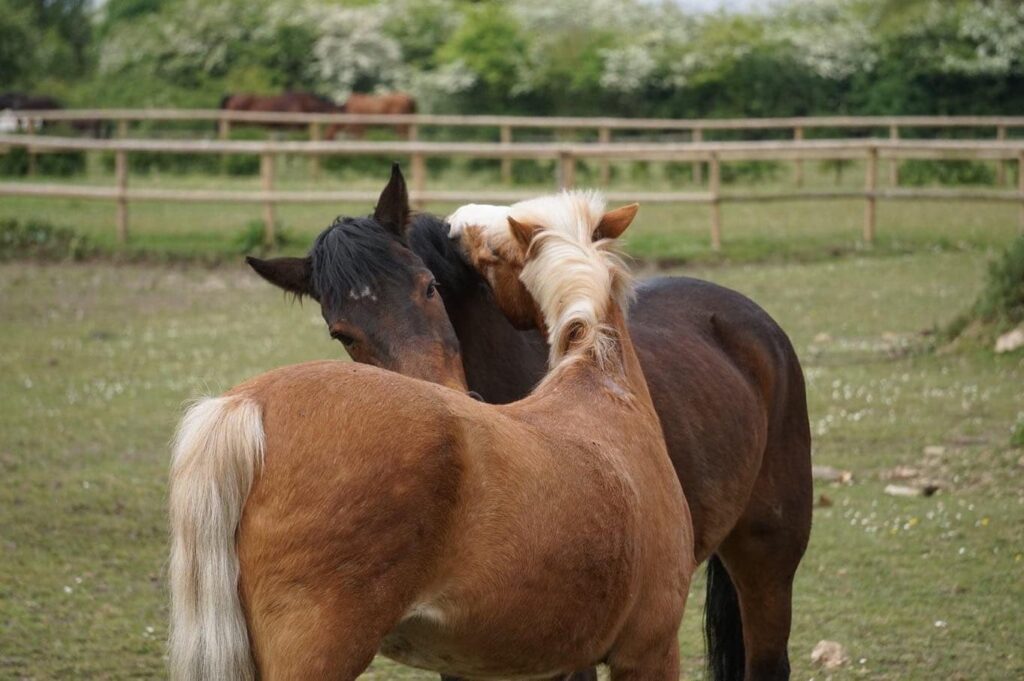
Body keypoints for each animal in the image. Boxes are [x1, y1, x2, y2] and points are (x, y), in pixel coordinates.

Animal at [169, 178, 696, 675]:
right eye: (342, 333)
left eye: (431, 286)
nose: (456, 224)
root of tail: (247, 403)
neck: (600, 380)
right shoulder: (649, 652)